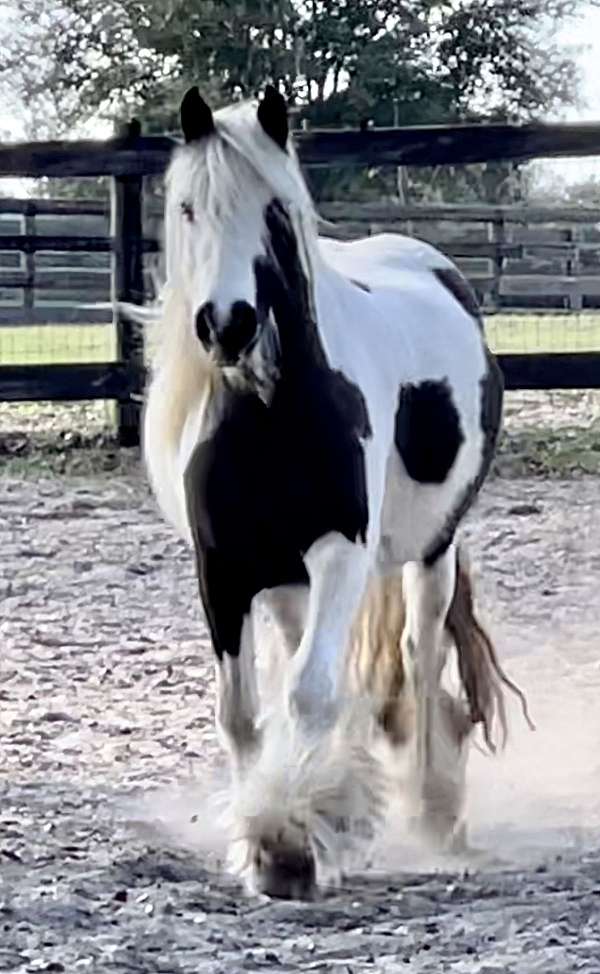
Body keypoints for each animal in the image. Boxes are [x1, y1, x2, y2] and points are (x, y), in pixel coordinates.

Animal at [142, 84, 524, 898]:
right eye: (188, 208)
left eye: (274, 213)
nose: (226, 325)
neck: (271, 416)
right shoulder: (223, 571)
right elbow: (243, 711)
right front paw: (265, 840)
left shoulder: (341, 553)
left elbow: (312, 692)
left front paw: (290, 840)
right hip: (289, 581)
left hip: (430, 553)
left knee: (418, 654)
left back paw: (434, 808)